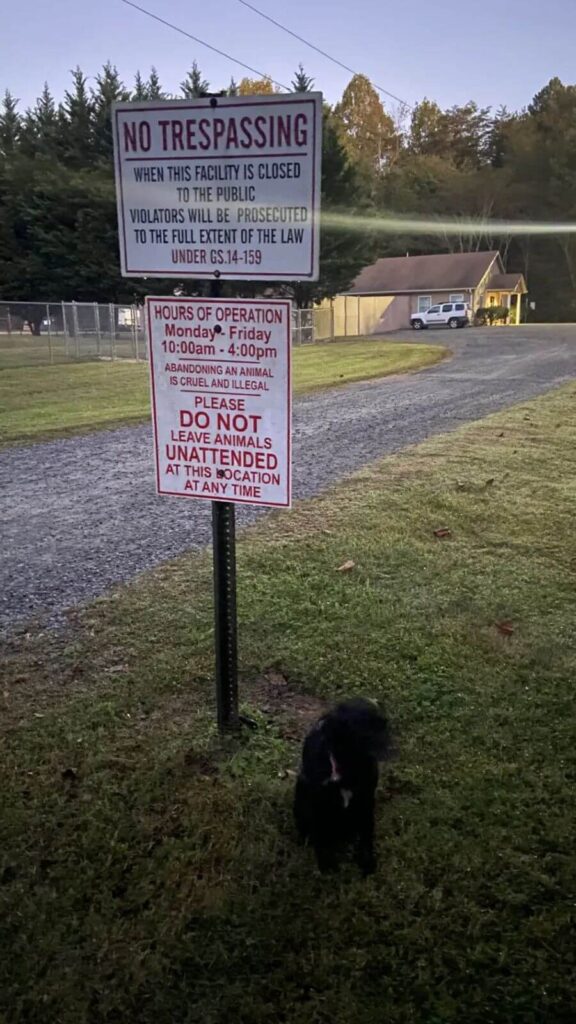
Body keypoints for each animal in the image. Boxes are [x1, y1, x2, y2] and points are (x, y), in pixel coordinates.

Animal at [291, 700, 389, 876]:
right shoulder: (317, 801)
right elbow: (320, 835)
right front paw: (326, 863)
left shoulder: (366, 798)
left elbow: (367, 833)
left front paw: (366, 861)